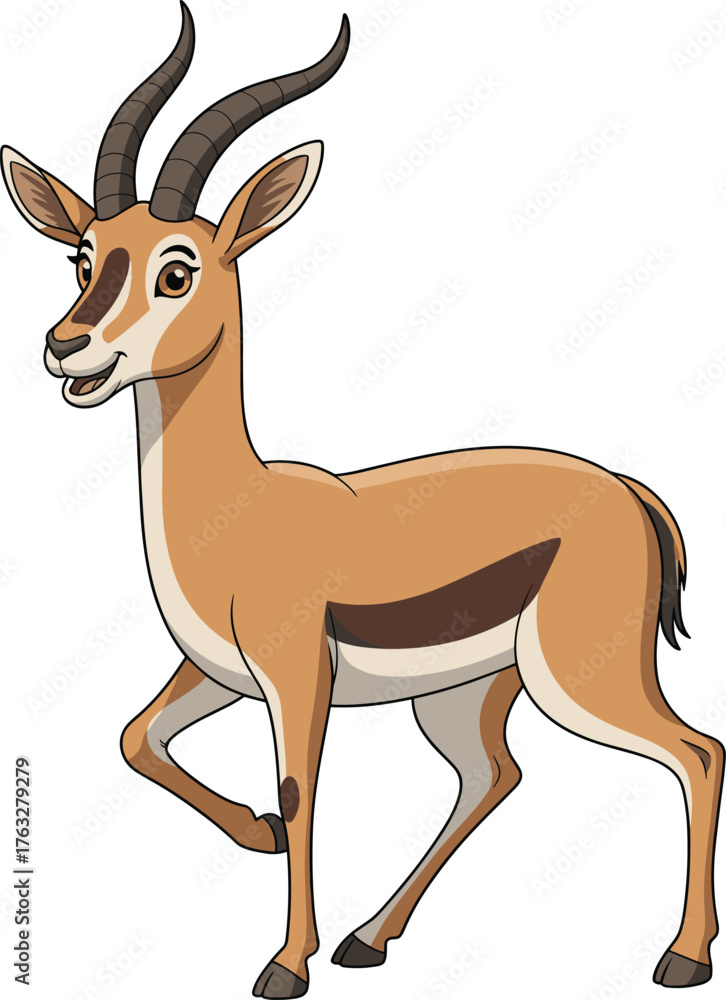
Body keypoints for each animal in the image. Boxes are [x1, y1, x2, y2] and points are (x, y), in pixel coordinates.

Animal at [3, 4, 723, 997]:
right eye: (83, 257)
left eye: (177, 269)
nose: (66, 346)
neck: (241, 509)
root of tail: (627, 488)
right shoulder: (214, 671)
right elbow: (136, 738)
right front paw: (261, 842)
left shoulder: (296, 673)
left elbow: (300, 792)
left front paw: (283, 965)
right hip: (466, 693)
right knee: (493, 775)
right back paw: (369, 938)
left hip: (581, 678)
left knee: (696, 751)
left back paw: (681, 957)